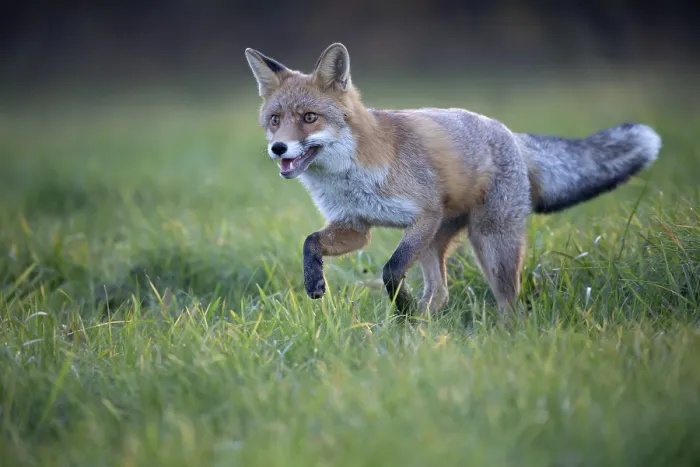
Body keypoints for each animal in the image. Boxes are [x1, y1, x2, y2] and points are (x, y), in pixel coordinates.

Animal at [244, 42, 662, 321]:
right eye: (275, 120)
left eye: (310, 117)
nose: (278, 148)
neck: (351, 175)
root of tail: (510, 134)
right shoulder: (355, 225)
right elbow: (310, 242)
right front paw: (315, 282)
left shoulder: (422, 215)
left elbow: (391, 270)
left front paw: (402, 308)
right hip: (435, 243)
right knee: (441, 294)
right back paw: (420, 331)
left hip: (489, 244)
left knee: (508, 302)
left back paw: (498, 335)